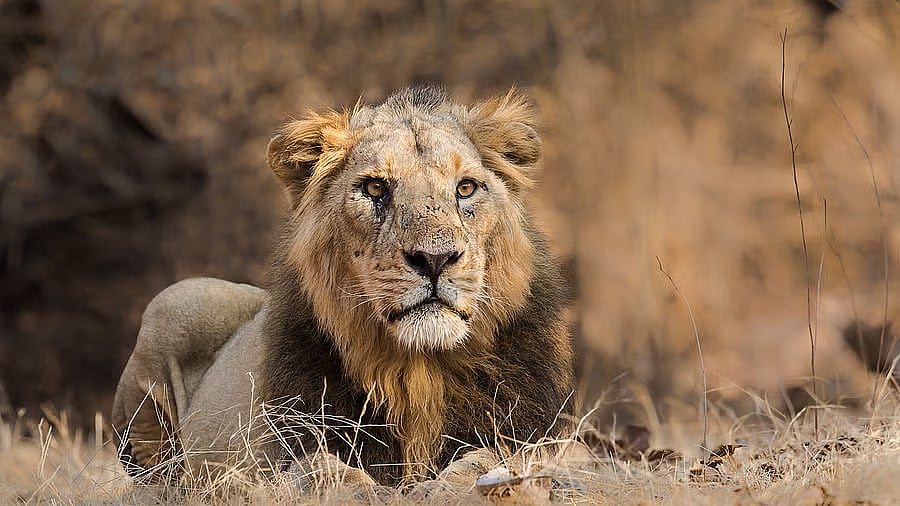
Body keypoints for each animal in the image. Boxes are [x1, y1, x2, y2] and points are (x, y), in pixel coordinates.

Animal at [111, 86, 575, 487]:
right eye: (374, 187)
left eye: (465, 188)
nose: (435, 259)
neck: (420, 370)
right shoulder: (286, 447)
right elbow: (322, 467)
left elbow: (492, 458)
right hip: (176, 301)